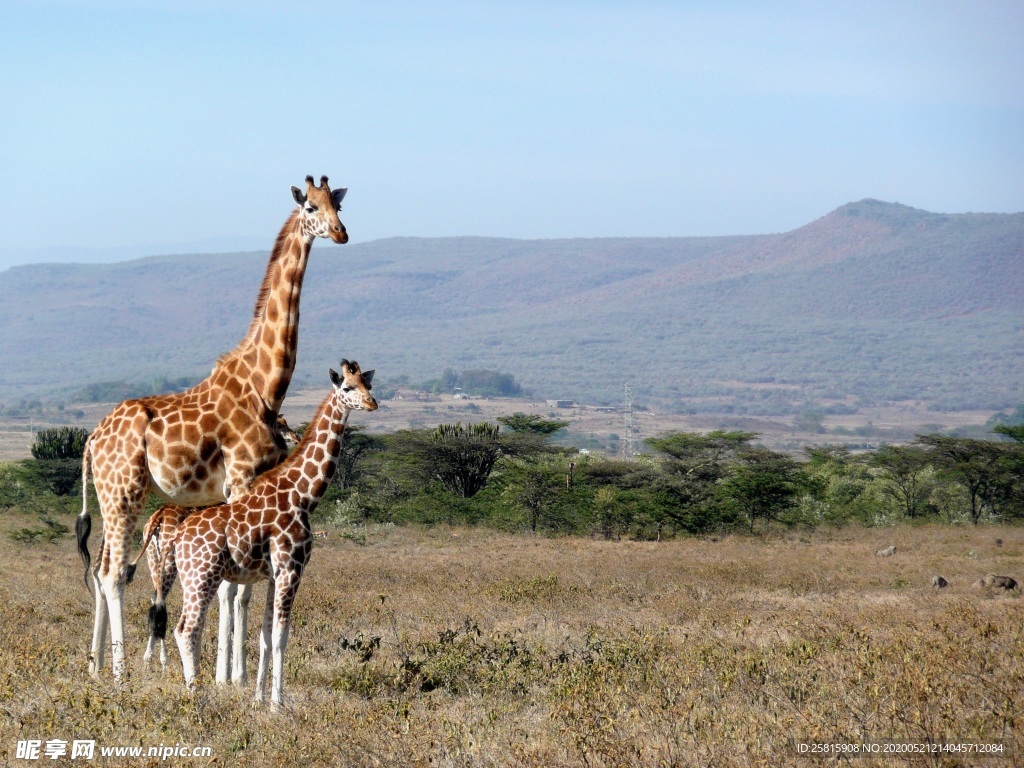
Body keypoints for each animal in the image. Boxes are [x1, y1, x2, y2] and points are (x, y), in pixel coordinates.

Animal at [131, 415, 299, 679]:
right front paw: (230, 674)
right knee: (161, 604)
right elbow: (232, 598)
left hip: (153, 560)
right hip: (169, 565)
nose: (295, 438)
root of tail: (157, 519)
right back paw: (162, 660)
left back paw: (152, 659)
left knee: (155, 600)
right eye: (280, 424)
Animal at [151, 360, 376, 708]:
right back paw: (197, 693)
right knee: (186, 629)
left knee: (184, 627)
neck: (303, 495)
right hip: (202, 575)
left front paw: (259, 698)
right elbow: (282, 636)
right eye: (347, 387)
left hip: (190, 577)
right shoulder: (291, 568)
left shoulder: (273, 574)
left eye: (369, 384)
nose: (372, 403)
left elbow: (265, 636)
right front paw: (277, 704)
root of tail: (177, 538)